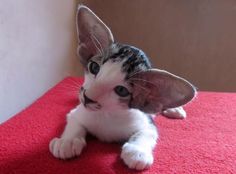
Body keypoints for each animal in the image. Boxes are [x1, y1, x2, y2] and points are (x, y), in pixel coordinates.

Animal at [48, 5, 196, 170]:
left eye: (121, 90)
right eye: (94, 67)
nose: (87, 97)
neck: (106, 115)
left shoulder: (146, 122)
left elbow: (147, 133)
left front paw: (137, 151)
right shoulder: (77, 112)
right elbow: (74, 122)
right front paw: (67, 141)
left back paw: (175, 109)